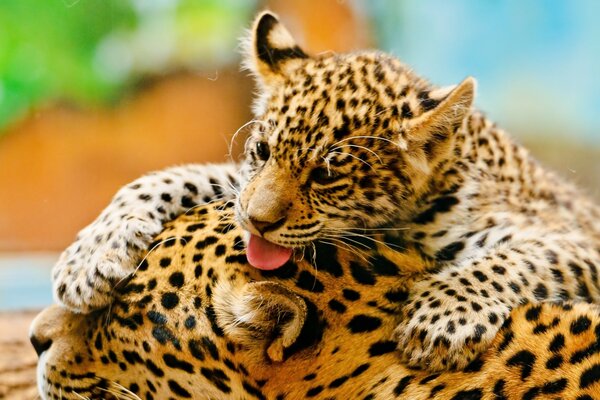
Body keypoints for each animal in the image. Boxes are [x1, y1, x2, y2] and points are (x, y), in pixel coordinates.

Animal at [50, 10, 600, 372]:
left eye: (327, 175)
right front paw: (90, 257)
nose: (257, 222)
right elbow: (173, 176)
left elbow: (521, 258)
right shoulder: (241, 183)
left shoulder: (577, 238)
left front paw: (441, 318)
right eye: (263, 150)